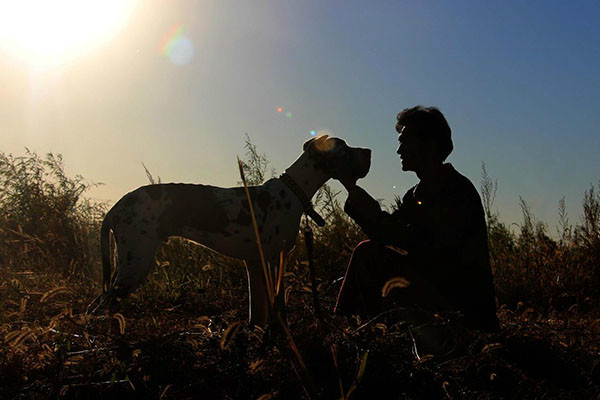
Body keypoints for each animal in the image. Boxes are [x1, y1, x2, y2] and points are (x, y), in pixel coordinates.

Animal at [90, 136, 370, 326]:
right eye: (345, 148)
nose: (369, 151)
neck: (291, 192)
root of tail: (116, 207)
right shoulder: (274, 260)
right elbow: (278, 307)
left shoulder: (254, 264)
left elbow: (257, 311)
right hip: (135, 265)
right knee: (104, 305)